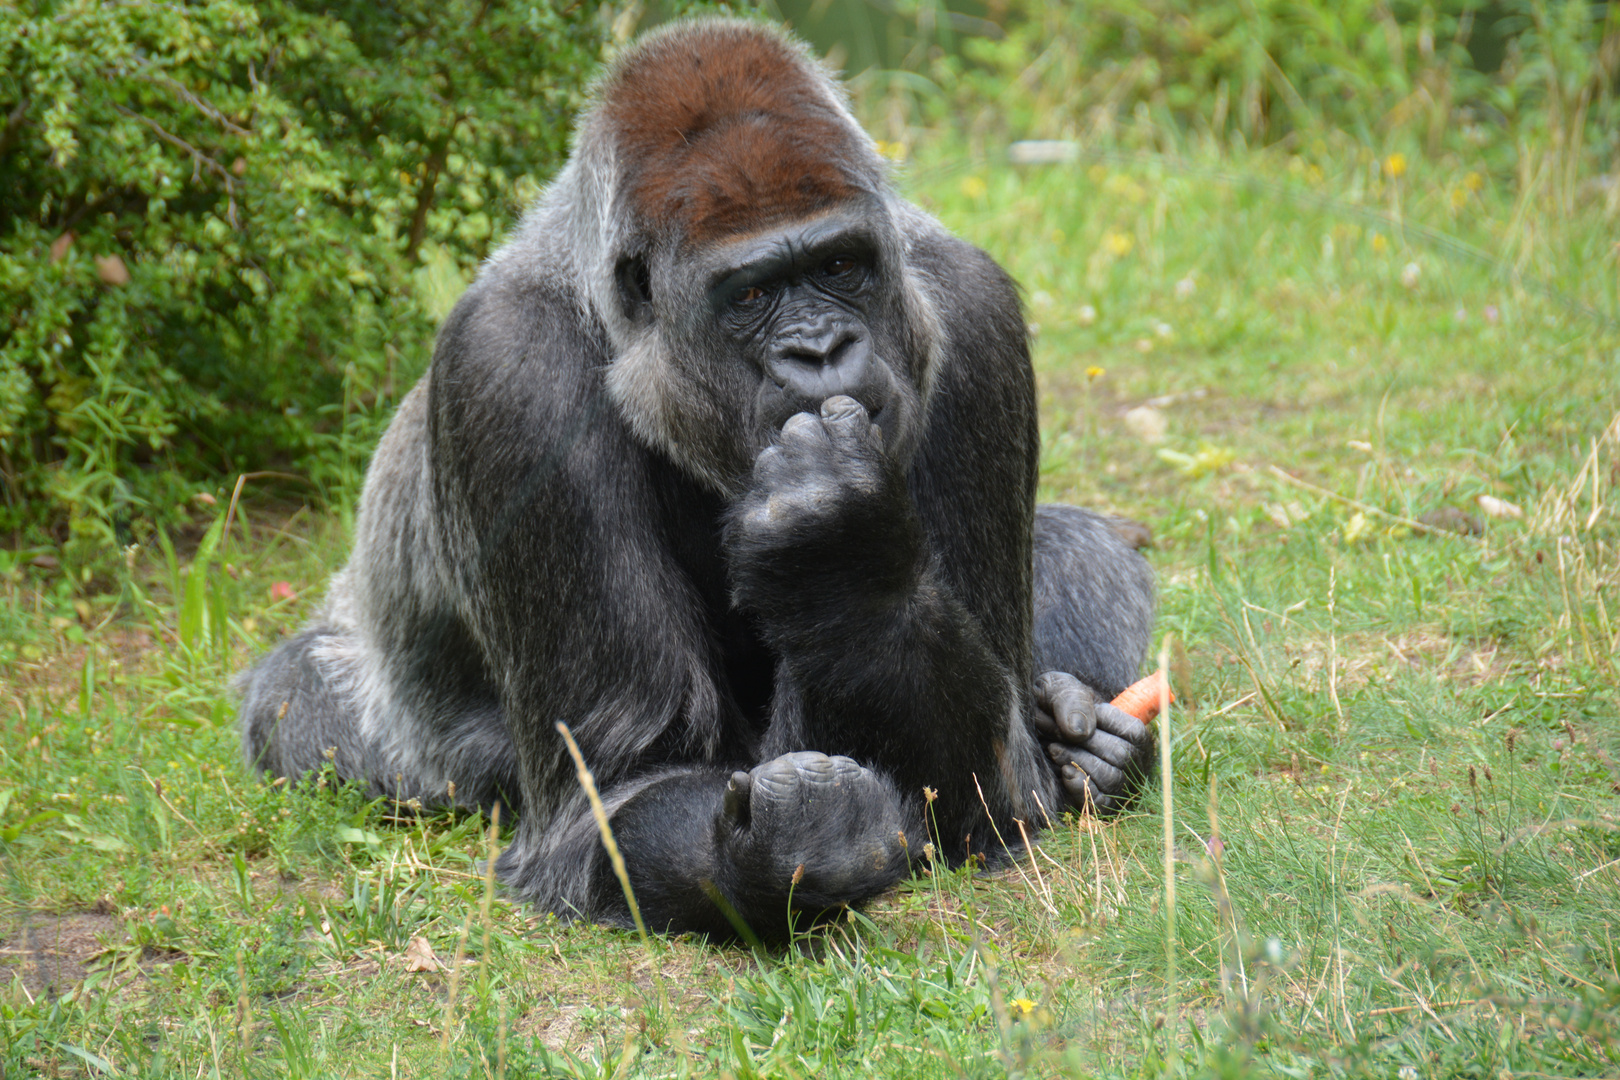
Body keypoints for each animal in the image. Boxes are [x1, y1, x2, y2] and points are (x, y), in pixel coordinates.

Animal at [236, 21, 1153, 939]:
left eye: (841, 266)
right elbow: (628, 780)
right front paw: (792, 848)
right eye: (750, 295)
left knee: (1090, 551)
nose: (821, 350)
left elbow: (1000, 784)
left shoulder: (971, 310)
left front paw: (849, 569)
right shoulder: (506, 366)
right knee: (302, 702)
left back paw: (1095, 748)